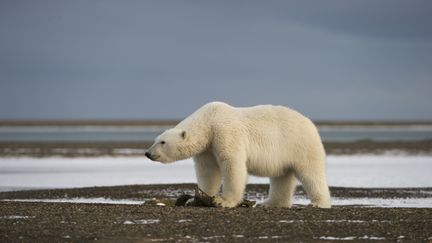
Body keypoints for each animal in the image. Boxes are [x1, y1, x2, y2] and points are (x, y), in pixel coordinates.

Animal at [145, 101, 330, 208]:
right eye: (156, 139)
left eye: (162, 142)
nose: (148, 153)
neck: (209, 120)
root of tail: (310, 123)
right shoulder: (207, 148)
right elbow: (208, 171)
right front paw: (195, 199)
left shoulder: (225, 132)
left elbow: (232, 164)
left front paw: (223, 201)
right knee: (282, 177)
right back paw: (269, 203)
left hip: (300, 145)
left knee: (311, 173)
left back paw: (318, 203)